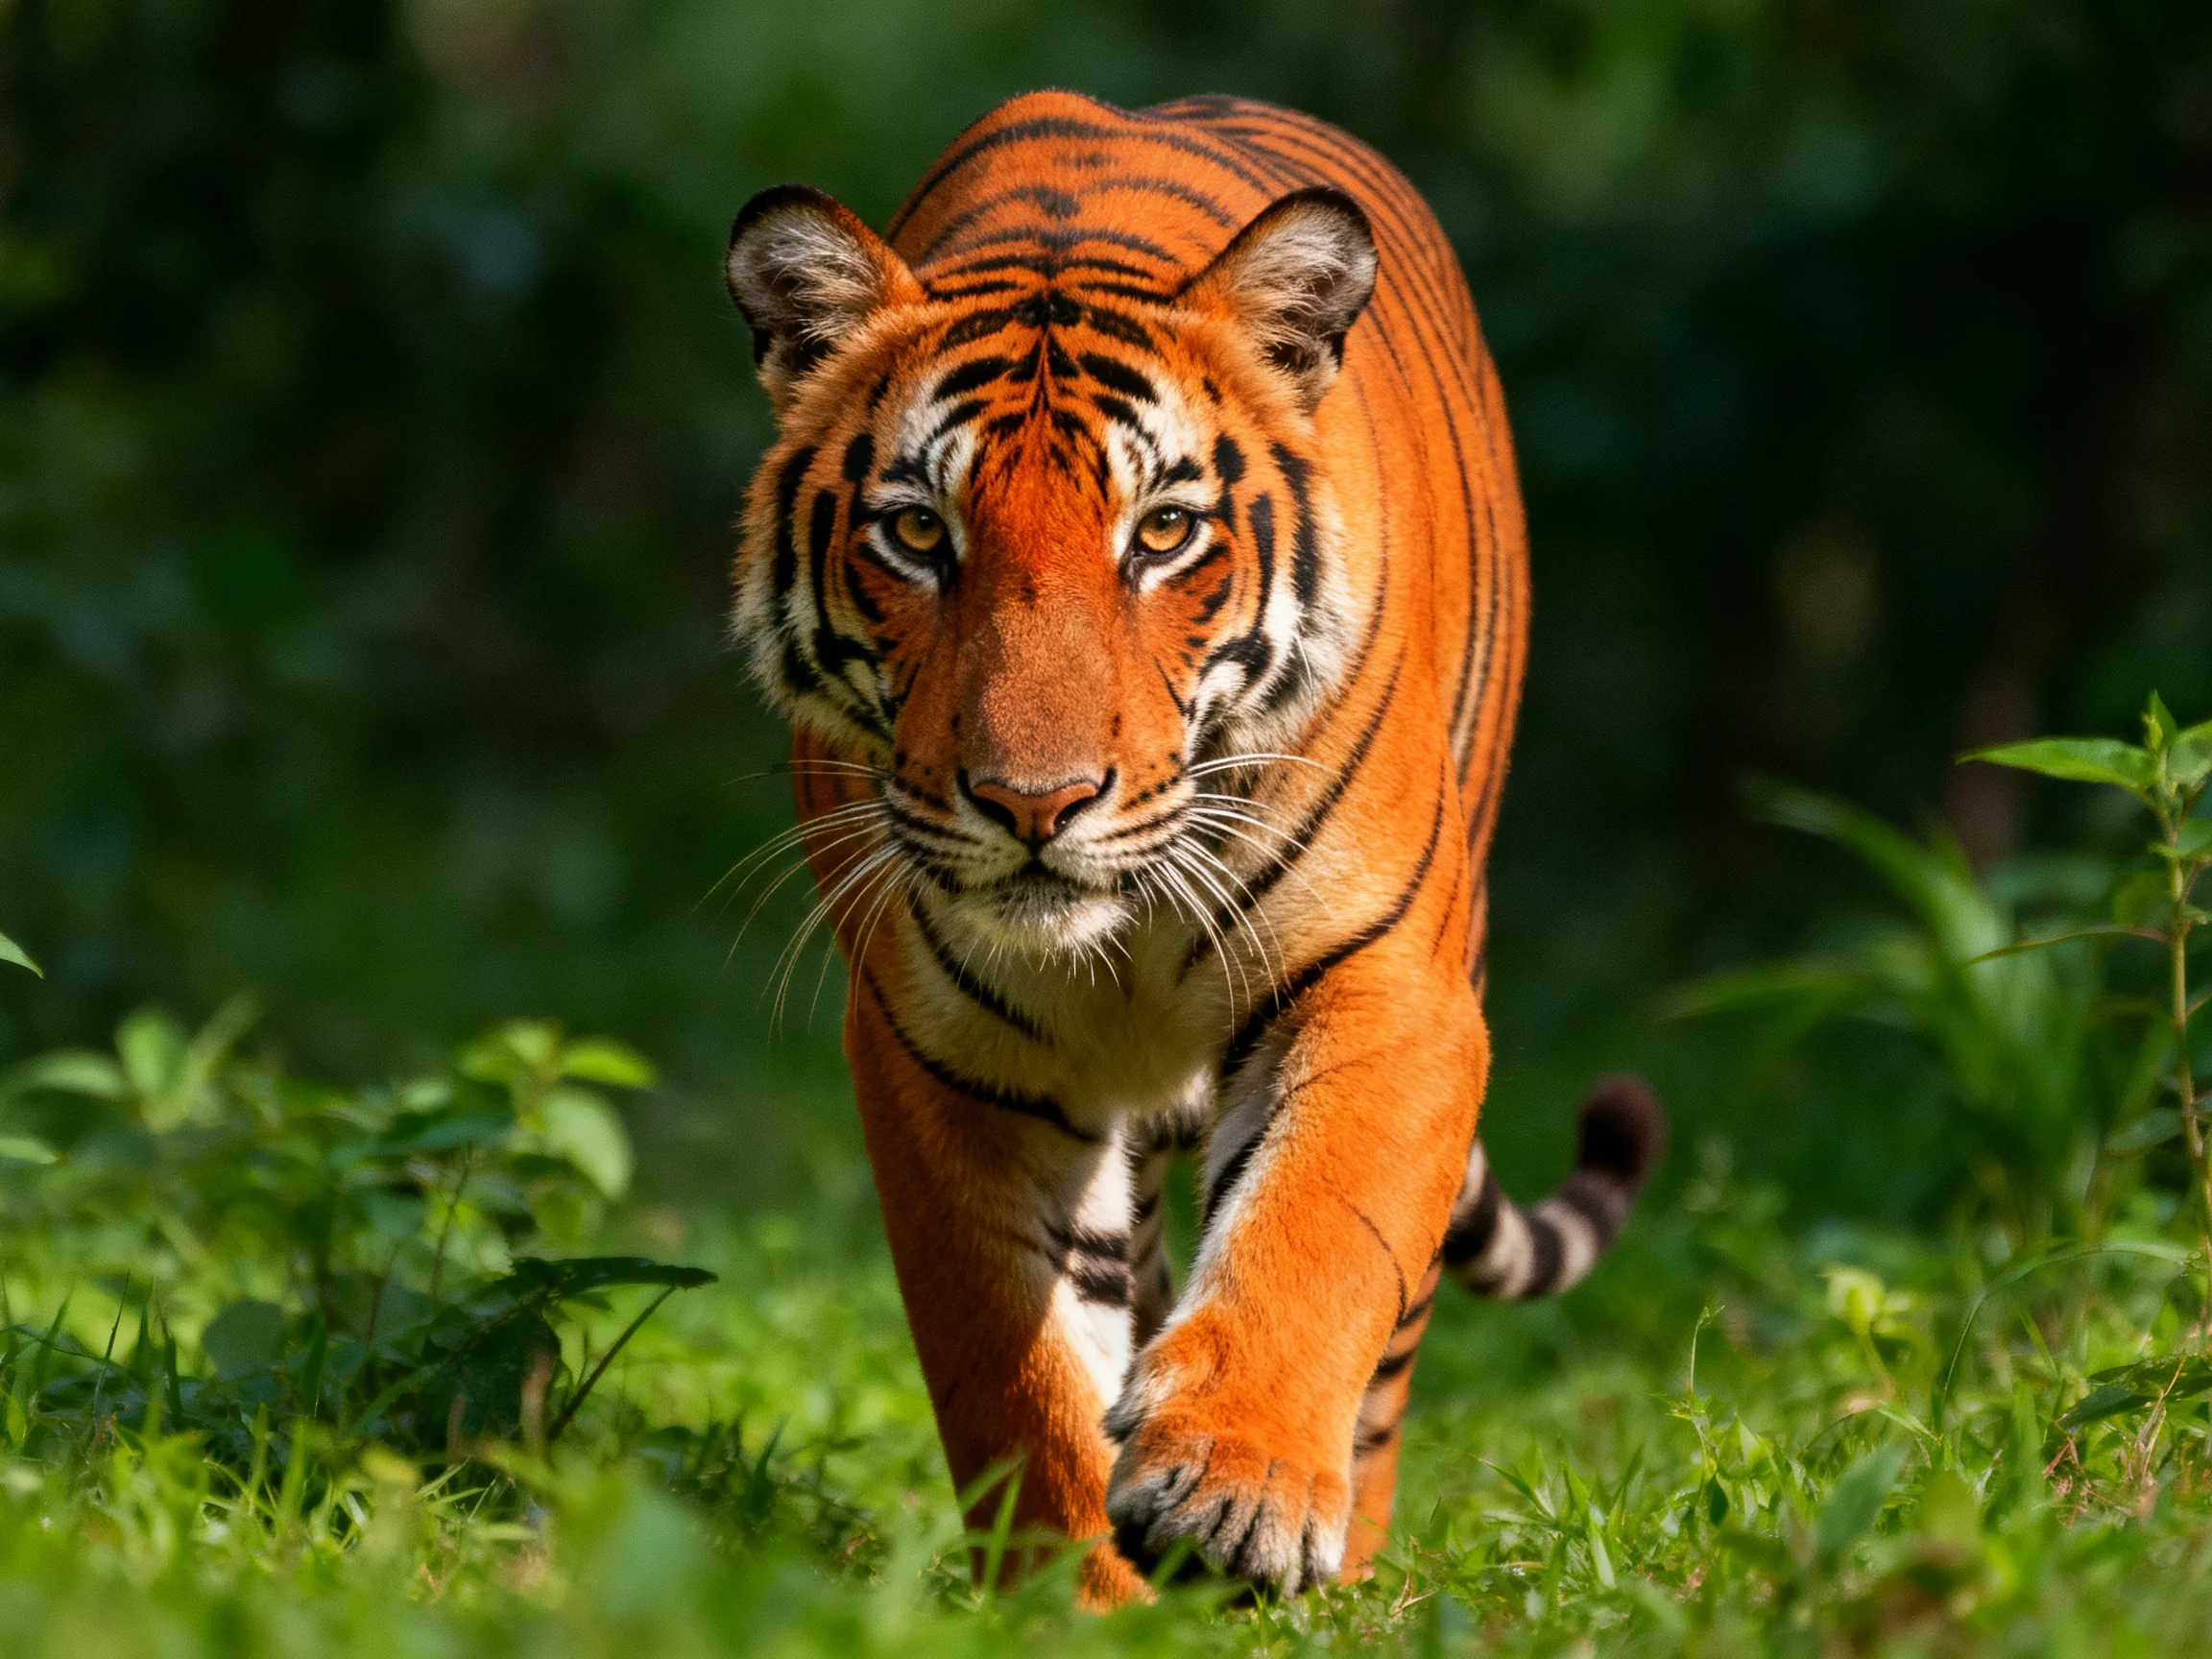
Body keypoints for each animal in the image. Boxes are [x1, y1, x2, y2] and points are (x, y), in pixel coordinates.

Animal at [721, 90, 1665, 1605]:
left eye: (1162, 531)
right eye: (919, 532)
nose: (1034, 801)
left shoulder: (1386, 982)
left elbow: (1314, 1231)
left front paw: (1237, 1488)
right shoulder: (942, 1054)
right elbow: (1019, 1370)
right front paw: (1077, 1602)